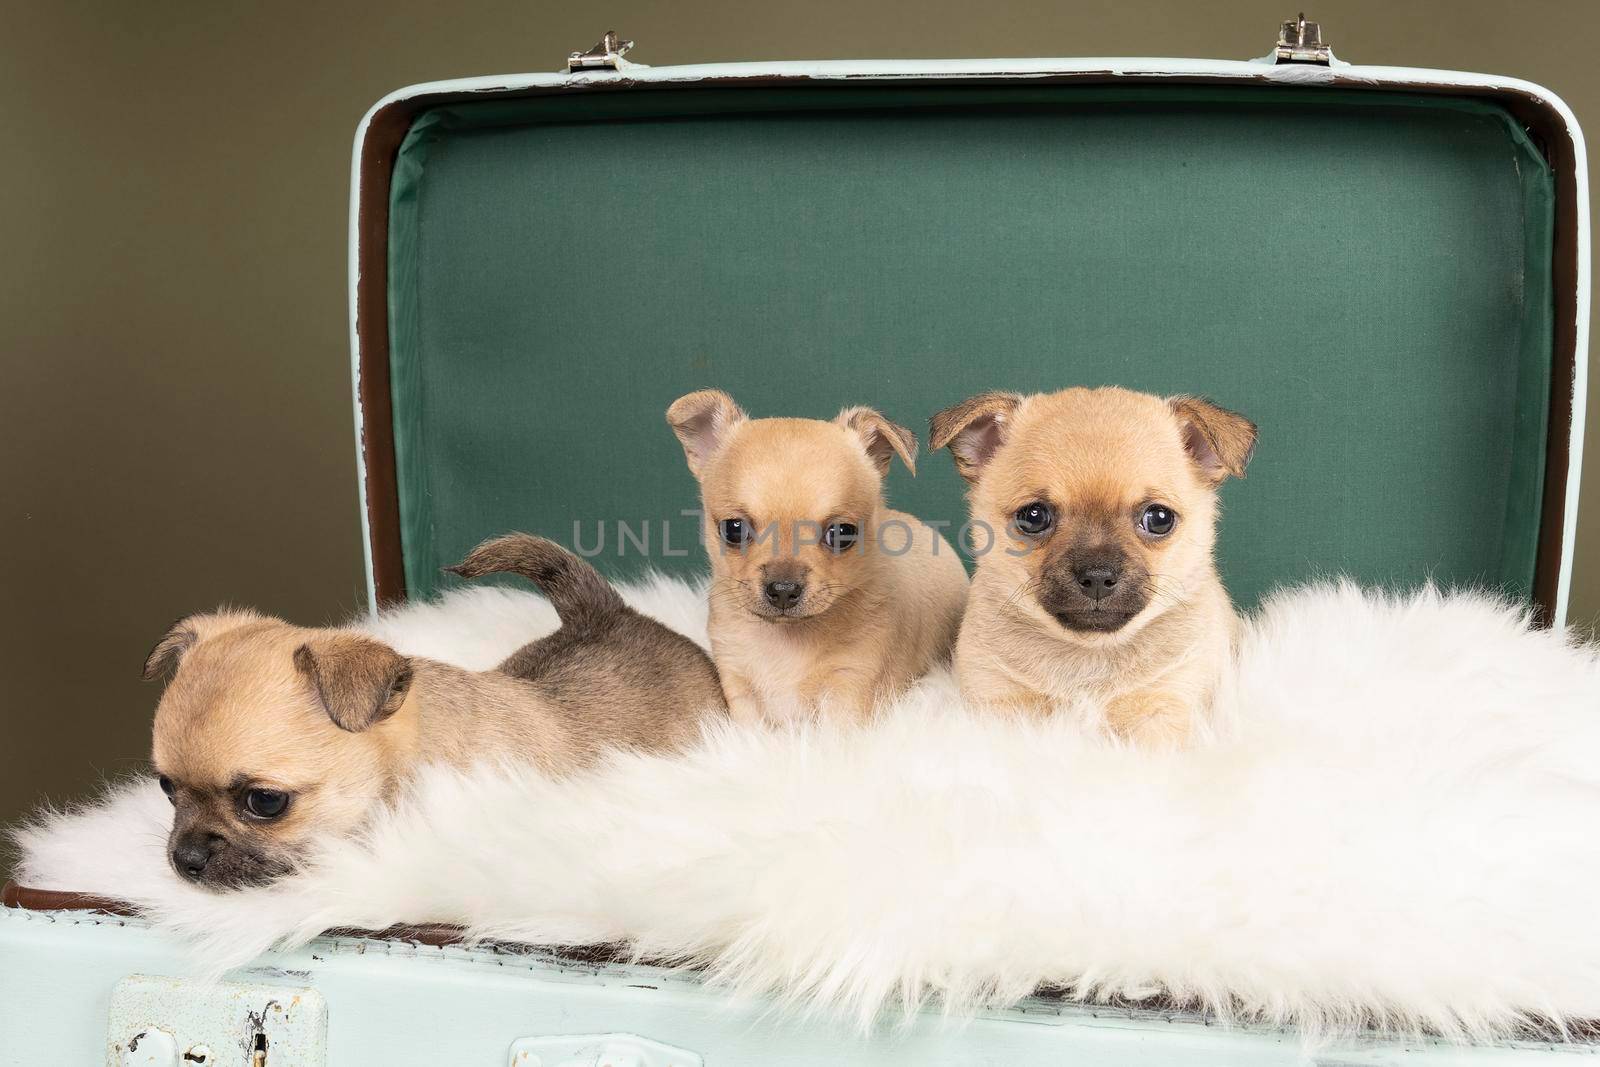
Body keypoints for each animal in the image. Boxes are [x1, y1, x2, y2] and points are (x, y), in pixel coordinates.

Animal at [662, 391, 960, 726]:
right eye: (733, 529)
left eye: (843, 533)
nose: (783, 590)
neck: (786, 640)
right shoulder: (738, 684)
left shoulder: (848, 688)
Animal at [934, 388, 1254, 748]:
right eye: (1033, 517)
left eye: (1159, 518)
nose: (1098, 576)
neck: (1089, 655)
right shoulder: (998, 698)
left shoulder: (1163, 705)